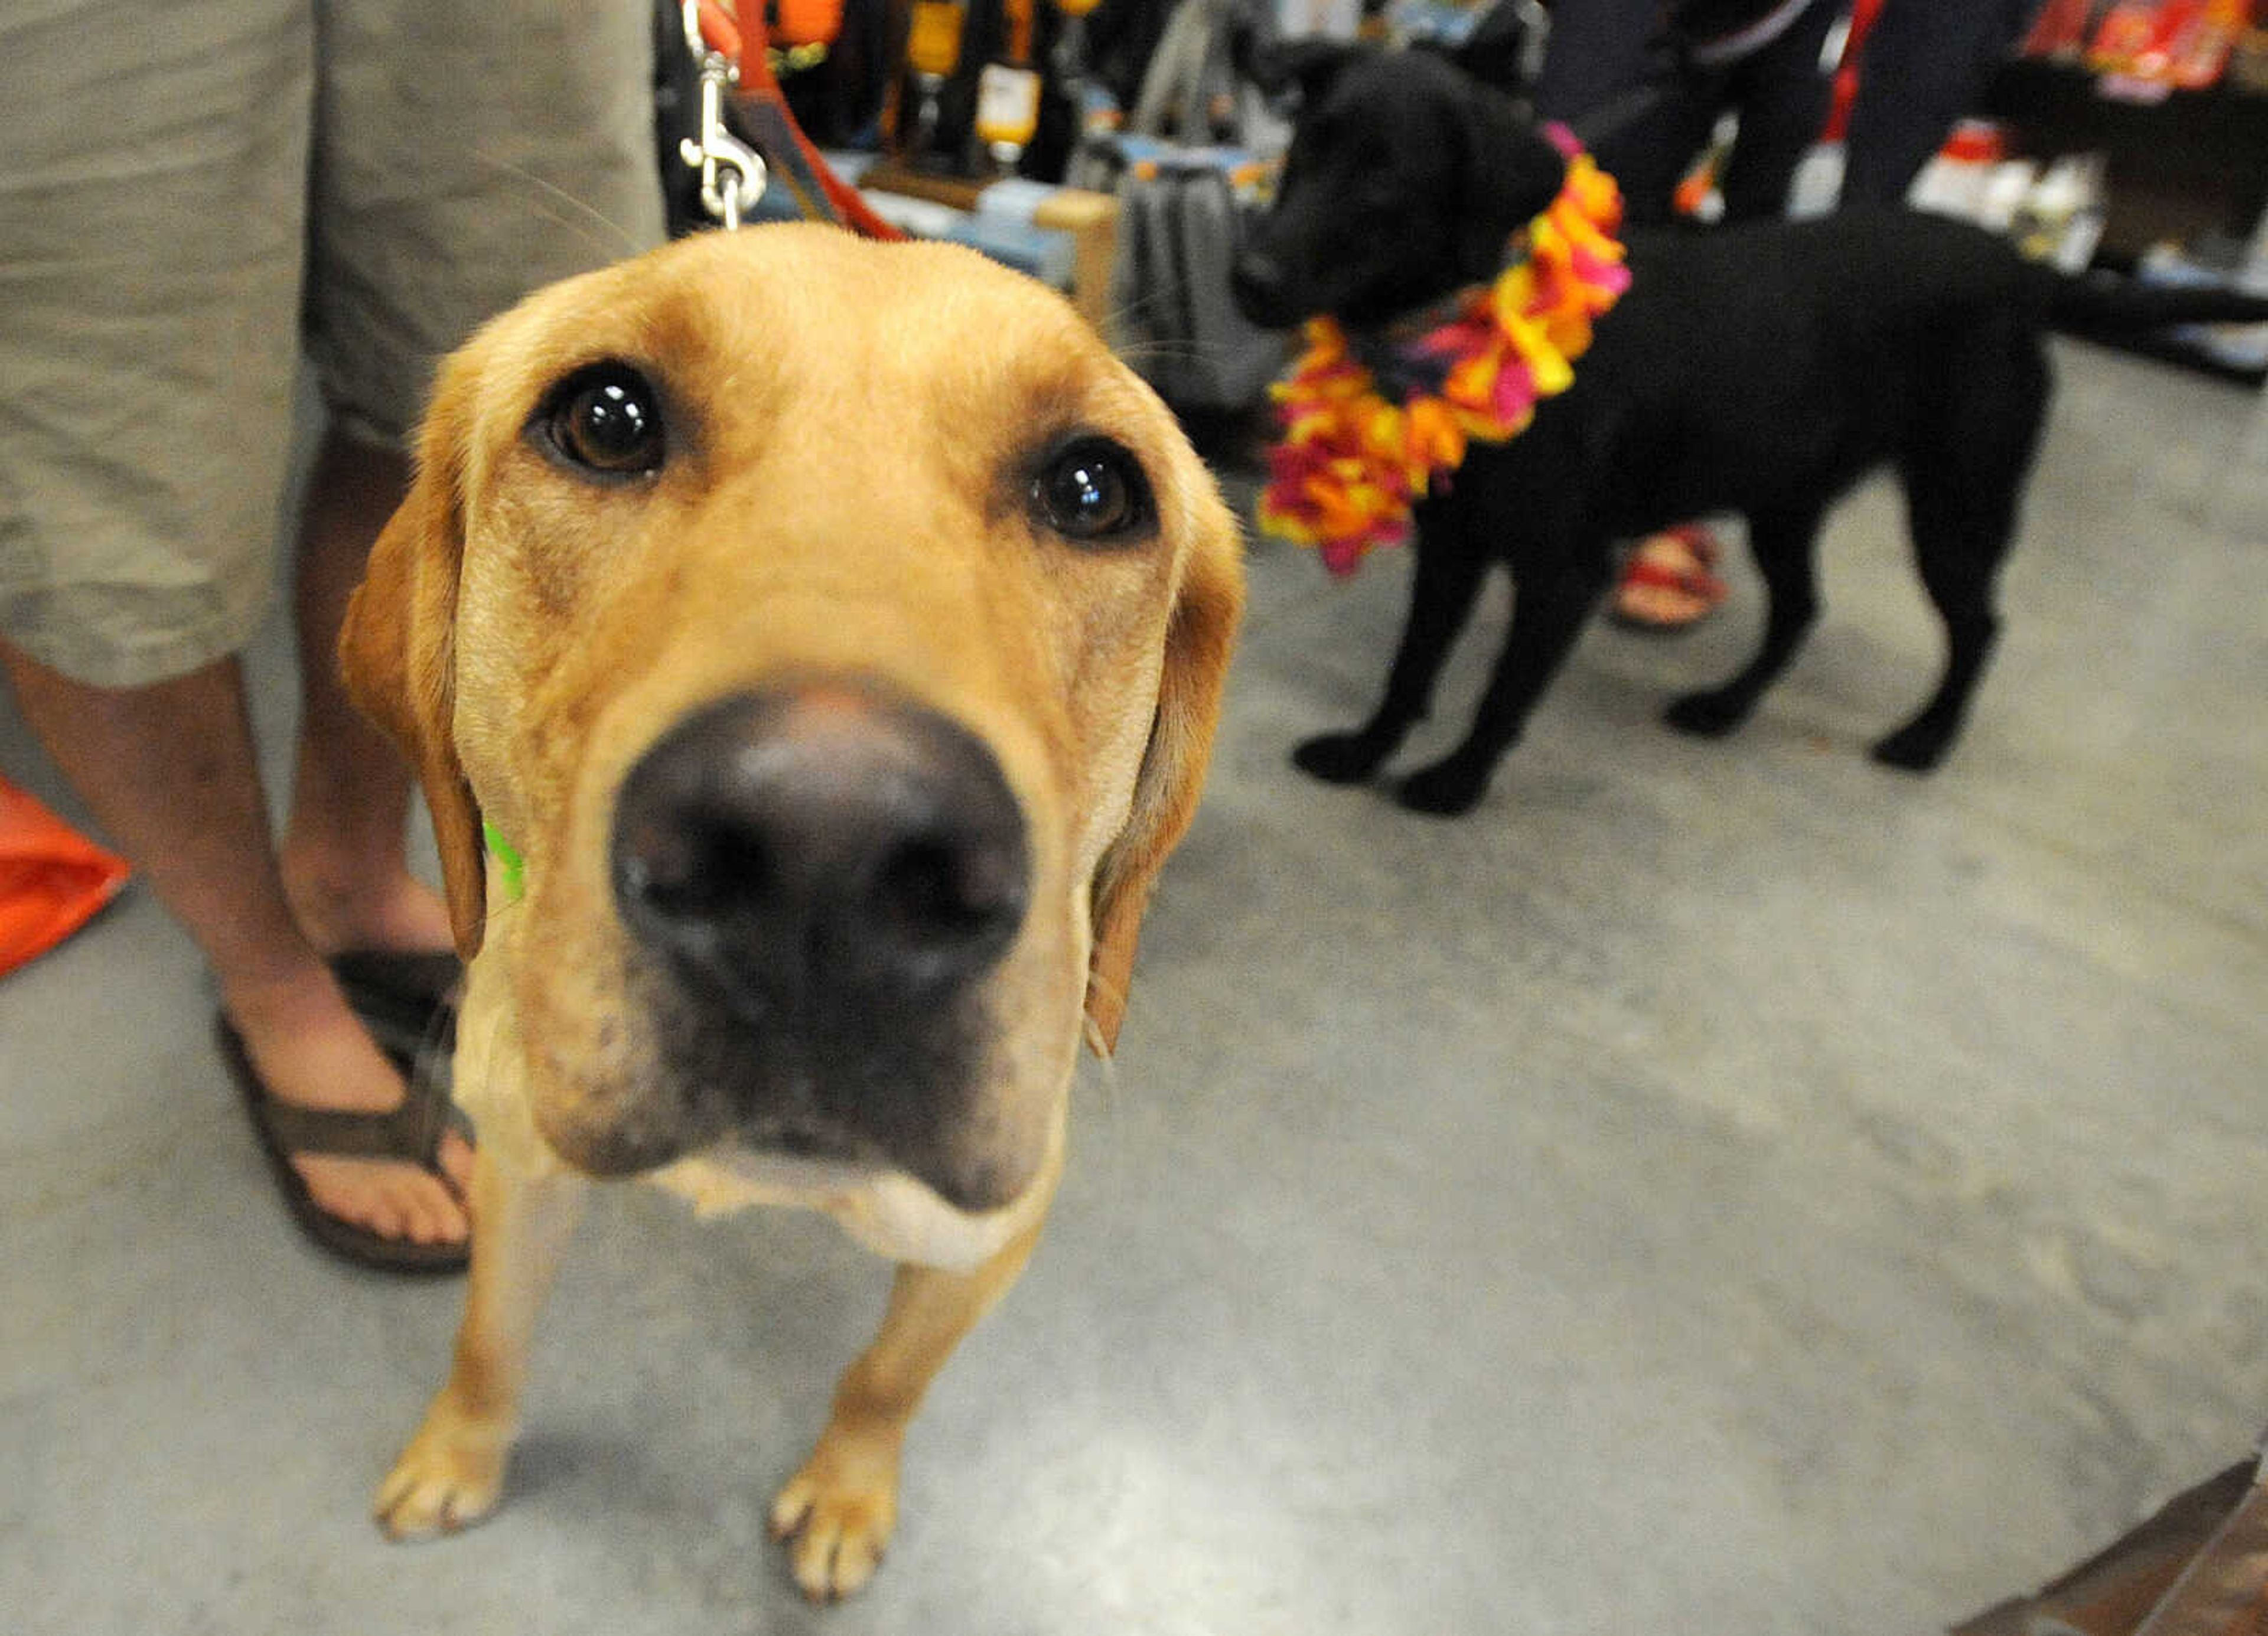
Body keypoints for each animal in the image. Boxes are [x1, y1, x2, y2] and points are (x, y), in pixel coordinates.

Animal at [344, 223, 1252, 1597]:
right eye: (605, 419)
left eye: (1095, 491)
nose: (830, 858)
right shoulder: (519, 1160)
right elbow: (489, 1335)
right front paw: (460, 1451)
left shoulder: (987, 1240)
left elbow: (884, 1378)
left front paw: (845, 1492)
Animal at [1243, 48, 2250, 812]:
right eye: (1306, 148)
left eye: (1388, 182)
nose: (1248, 280)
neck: (1464, 320)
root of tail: (2021, 266)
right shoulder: (1454, 547)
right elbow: (1410, 669)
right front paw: (1365, 752)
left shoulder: (1565, 573)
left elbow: (1499, 693)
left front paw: (1456, 783)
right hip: (1787, 502)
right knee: (1802, 608)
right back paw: (1727, 708)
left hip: (1959, 504)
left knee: (1980, 626)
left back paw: (1926, 737)